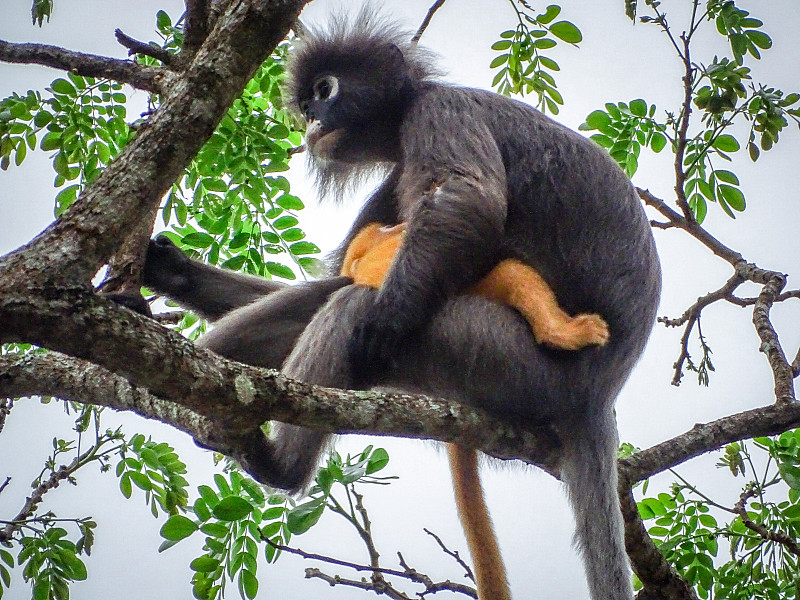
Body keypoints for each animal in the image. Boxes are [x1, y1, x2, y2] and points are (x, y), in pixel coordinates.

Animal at [139, 11, 664, 600]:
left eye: (325, 90)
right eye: (308, 101)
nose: (312, 120)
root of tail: (598, 396)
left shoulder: (440, 112)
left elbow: (468, 202)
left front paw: (380, 321)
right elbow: (338, 270)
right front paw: (168, 270)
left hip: (506, 360)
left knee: (351, 307)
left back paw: (279, 464)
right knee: (328, 295)